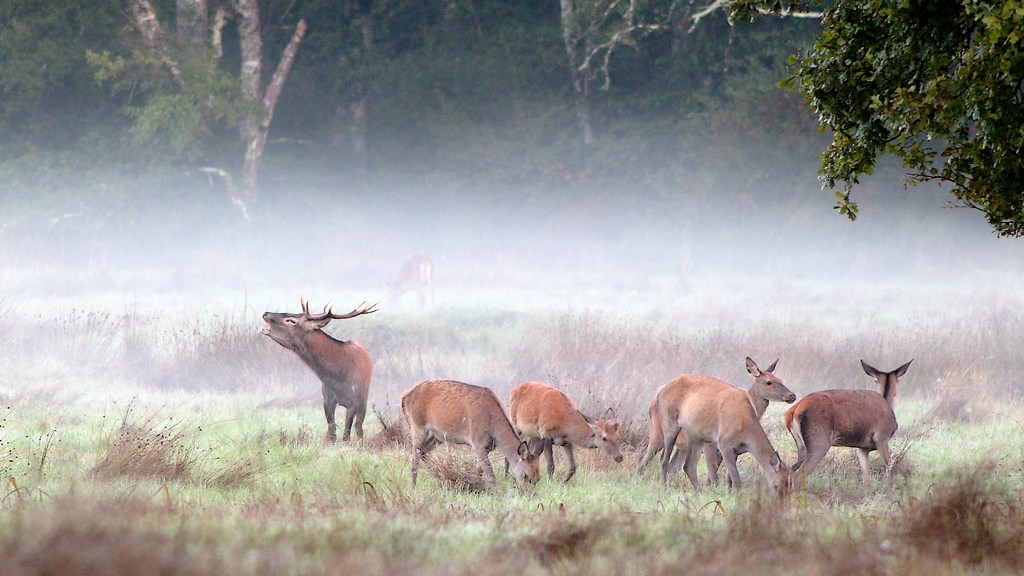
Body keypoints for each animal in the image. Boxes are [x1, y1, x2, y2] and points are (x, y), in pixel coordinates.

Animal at [262, 299, 377, 442]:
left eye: (291, 320)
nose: (265, 313)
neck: (336, 375)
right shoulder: (327, 397)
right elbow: (331, 431)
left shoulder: (353, 400)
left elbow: (347, 433)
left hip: (364, 396)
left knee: (359, 426)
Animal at [400, 379, 540, 487]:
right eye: (526, 476)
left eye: (538, 478)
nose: (528, 492)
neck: (493, 425)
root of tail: (404, 396)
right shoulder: (477, 442)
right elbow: (490, 475)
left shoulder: (487, 447)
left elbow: (479, 472)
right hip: (417, 427)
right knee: (415, 457)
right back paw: (414, 487)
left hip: (436, 436)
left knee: (423, 452)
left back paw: (439, 476)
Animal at [636, 358, 796, 485]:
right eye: (769, 382)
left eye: (781, 380)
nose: (792, 395)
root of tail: (656, 395)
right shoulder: (711, 446)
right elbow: (713, 476)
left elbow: (725, 477)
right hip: (661, 432)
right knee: (649, 460)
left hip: (682, 446)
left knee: (672, 466)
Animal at [784, 359, 913, 494]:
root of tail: (793, 411)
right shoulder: (881, 437)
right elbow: (889, 465)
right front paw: (890, 490)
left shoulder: (862, 447)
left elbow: (866, 480)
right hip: (819, 441)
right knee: (798, 474)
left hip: (801, 446)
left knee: (791, 470)